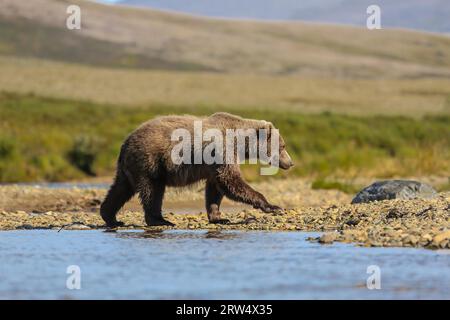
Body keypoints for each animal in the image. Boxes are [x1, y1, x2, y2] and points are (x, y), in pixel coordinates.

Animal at [100, 112, 294, 228]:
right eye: (283, 146)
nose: (290, 163)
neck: (240, 142)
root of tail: (125, 143)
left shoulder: (214, 163)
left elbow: (215, 188)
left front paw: (219, 217)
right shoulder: (221, 148)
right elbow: (230, 180)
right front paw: (273, 206)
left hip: (130, 167)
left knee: (120, 189)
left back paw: (111, 218)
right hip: (150, 161)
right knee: (152, 190)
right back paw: (161, 220)